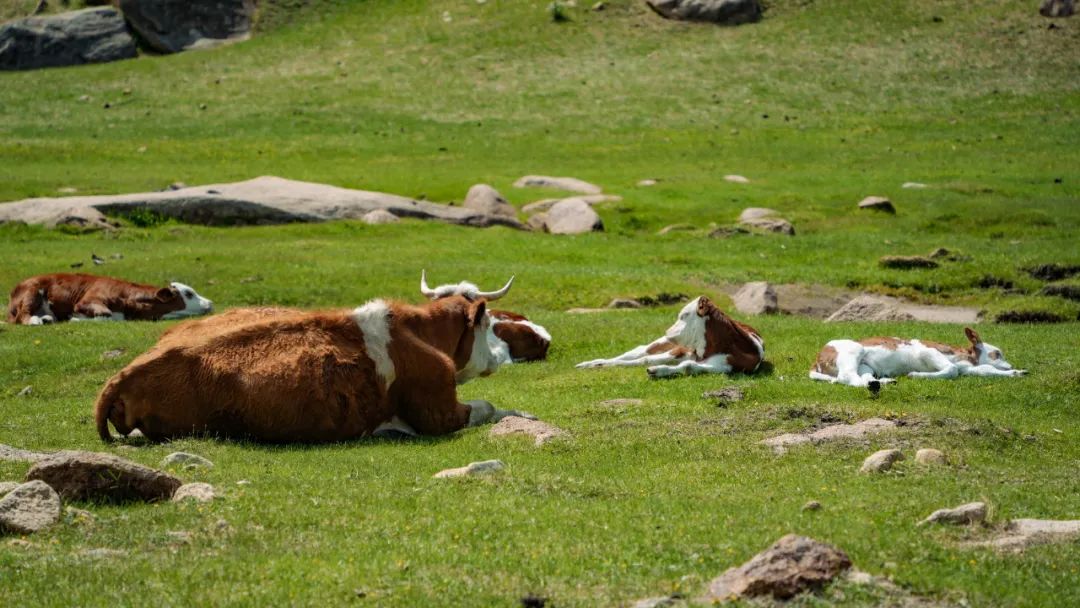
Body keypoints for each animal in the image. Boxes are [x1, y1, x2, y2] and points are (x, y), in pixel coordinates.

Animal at [7, 273, 212, 325]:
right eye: (189, 293)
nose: (210, 303)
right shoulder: (86, 301)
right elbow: (105, 314)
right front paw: (74, 319)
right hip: (32, 292)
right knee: (22, 316)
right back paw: (35, 320)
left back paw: (47, 318)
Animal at [94, 294, 532, 443]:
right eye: (488, 325)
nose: (501, 355)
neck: (418, 331)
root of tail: (124, 376)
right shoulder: (438, 412)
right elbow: (488, 407)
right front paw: (520, 412)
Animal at [576, 296, 764, 379]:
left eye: (684, 315)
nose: (667, 332)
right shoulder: (680, 351)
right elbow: (644, 359)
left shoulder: (723, 367)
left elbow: (687, 366)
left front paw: (657, 371)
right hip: (664, 345)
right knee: (638, 352)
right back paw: (591, 363)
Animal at [809, 327, 1026, 389]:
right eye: (997, 353)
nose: (1010, 364)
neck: (964, 357)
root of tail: (816, 359)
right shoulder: (927, 351)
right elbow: (951, 370)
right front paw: (916, 374)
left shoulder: (970, 368)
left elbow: (986, 370)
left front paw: (1018, 372)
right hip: (854, 350)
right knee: (845, 377)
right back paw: (876, 385)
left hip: (866, 366)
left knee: (860, 376)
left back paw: (883, 382)